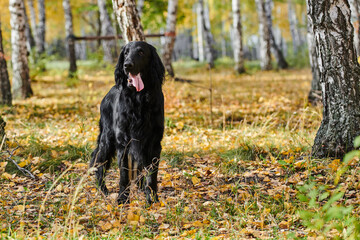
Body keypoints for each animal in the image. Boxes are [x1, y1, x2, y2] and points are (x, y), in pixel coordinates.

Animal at [90, 40, 165, 204]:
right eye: (125, 53)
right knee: (99, 163)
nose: (127, 65)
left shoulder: (154, 143)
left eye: (141, 52)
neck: (139, 99)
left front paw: (152, 198)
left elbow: (151, 174)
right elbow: (124, 174)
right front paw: (122, 198)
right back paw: (102, 189)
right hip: (107, 139)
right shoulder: (123, 142)